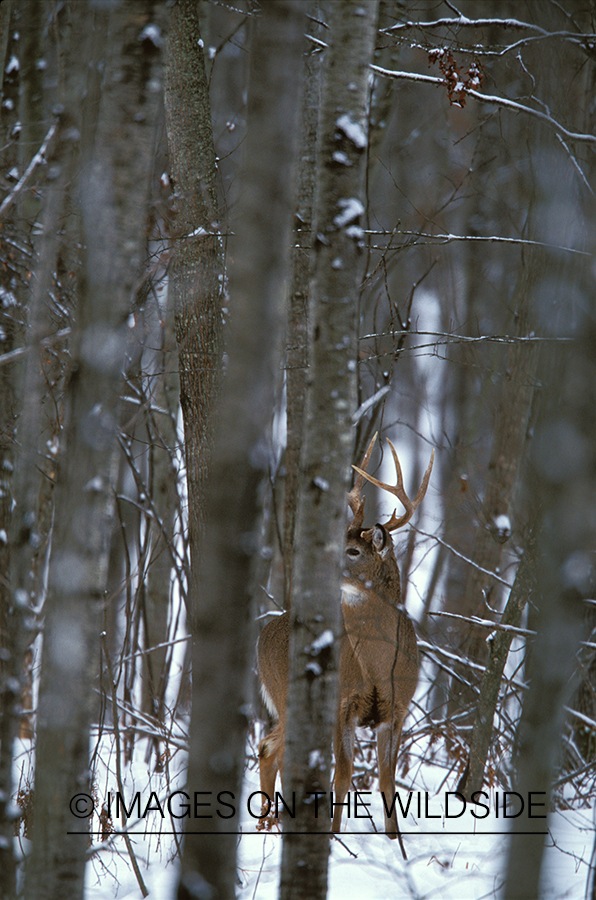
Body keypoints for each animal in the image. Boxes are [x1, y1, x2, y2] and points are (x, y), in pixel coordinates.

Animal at [256, 433, 434, 852]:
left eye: (353, 550)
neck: (378, 666)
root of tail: (262, 634)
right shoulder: (342, 702)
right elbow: (343, 774)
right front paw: (336, 839)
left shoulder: (399, 707)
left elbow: (386, 780)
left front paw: (396, 845)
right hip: (285, 693)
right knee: (276, 752)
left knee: (269, 749)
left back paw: (267, 823)